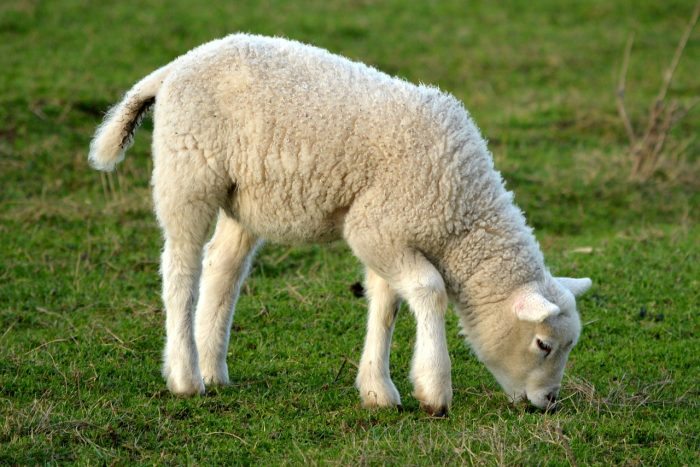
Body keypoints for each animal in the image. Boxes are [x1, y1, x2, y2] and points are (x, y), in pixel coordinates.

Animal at [89, 33, 591, 416]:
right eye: (544, 345)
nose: (549, 402)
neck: (460, 220)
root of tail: (175, 67)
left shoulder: (384, 237)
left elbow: (386, 304)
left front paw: (377, 389)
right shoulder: (377, 225)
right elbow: (429, 290)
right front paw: (434, 390)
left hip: (243, 198)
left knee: (222, 267)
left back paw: (214, 368)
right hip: (188, 172)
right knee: (181, 269)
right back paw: (186, 377)